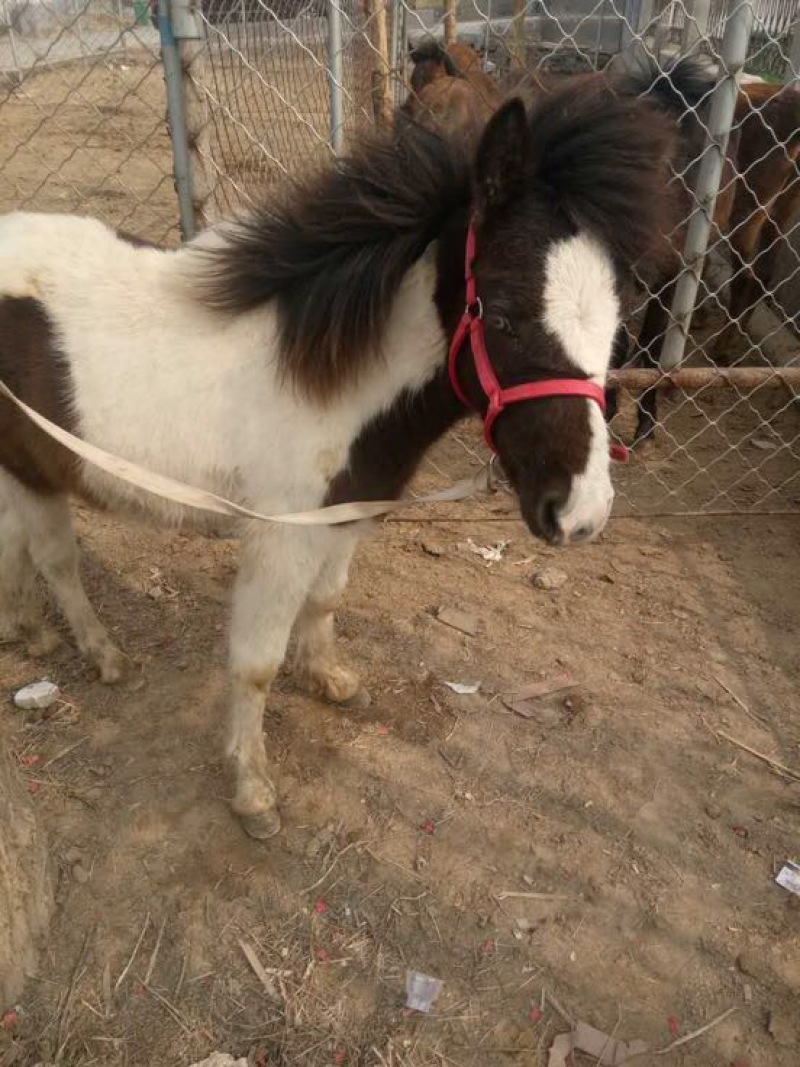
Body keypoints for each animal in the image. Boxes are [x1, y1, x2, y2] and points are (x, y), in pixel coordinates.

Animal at [0, 75, 679, 839]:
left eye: (620, 323)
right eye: (500, 314)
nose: (582, 512)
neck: (334, 379)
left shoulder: (345, 517)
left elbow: (325, 600)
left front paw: (329, 680)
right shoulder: (281, 536)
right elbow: (255, 664)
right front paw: (254, 790)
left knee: (17, 543)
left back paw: (27, 631)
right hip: (36, 469)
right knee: (57, 559)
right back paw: (104, 654)